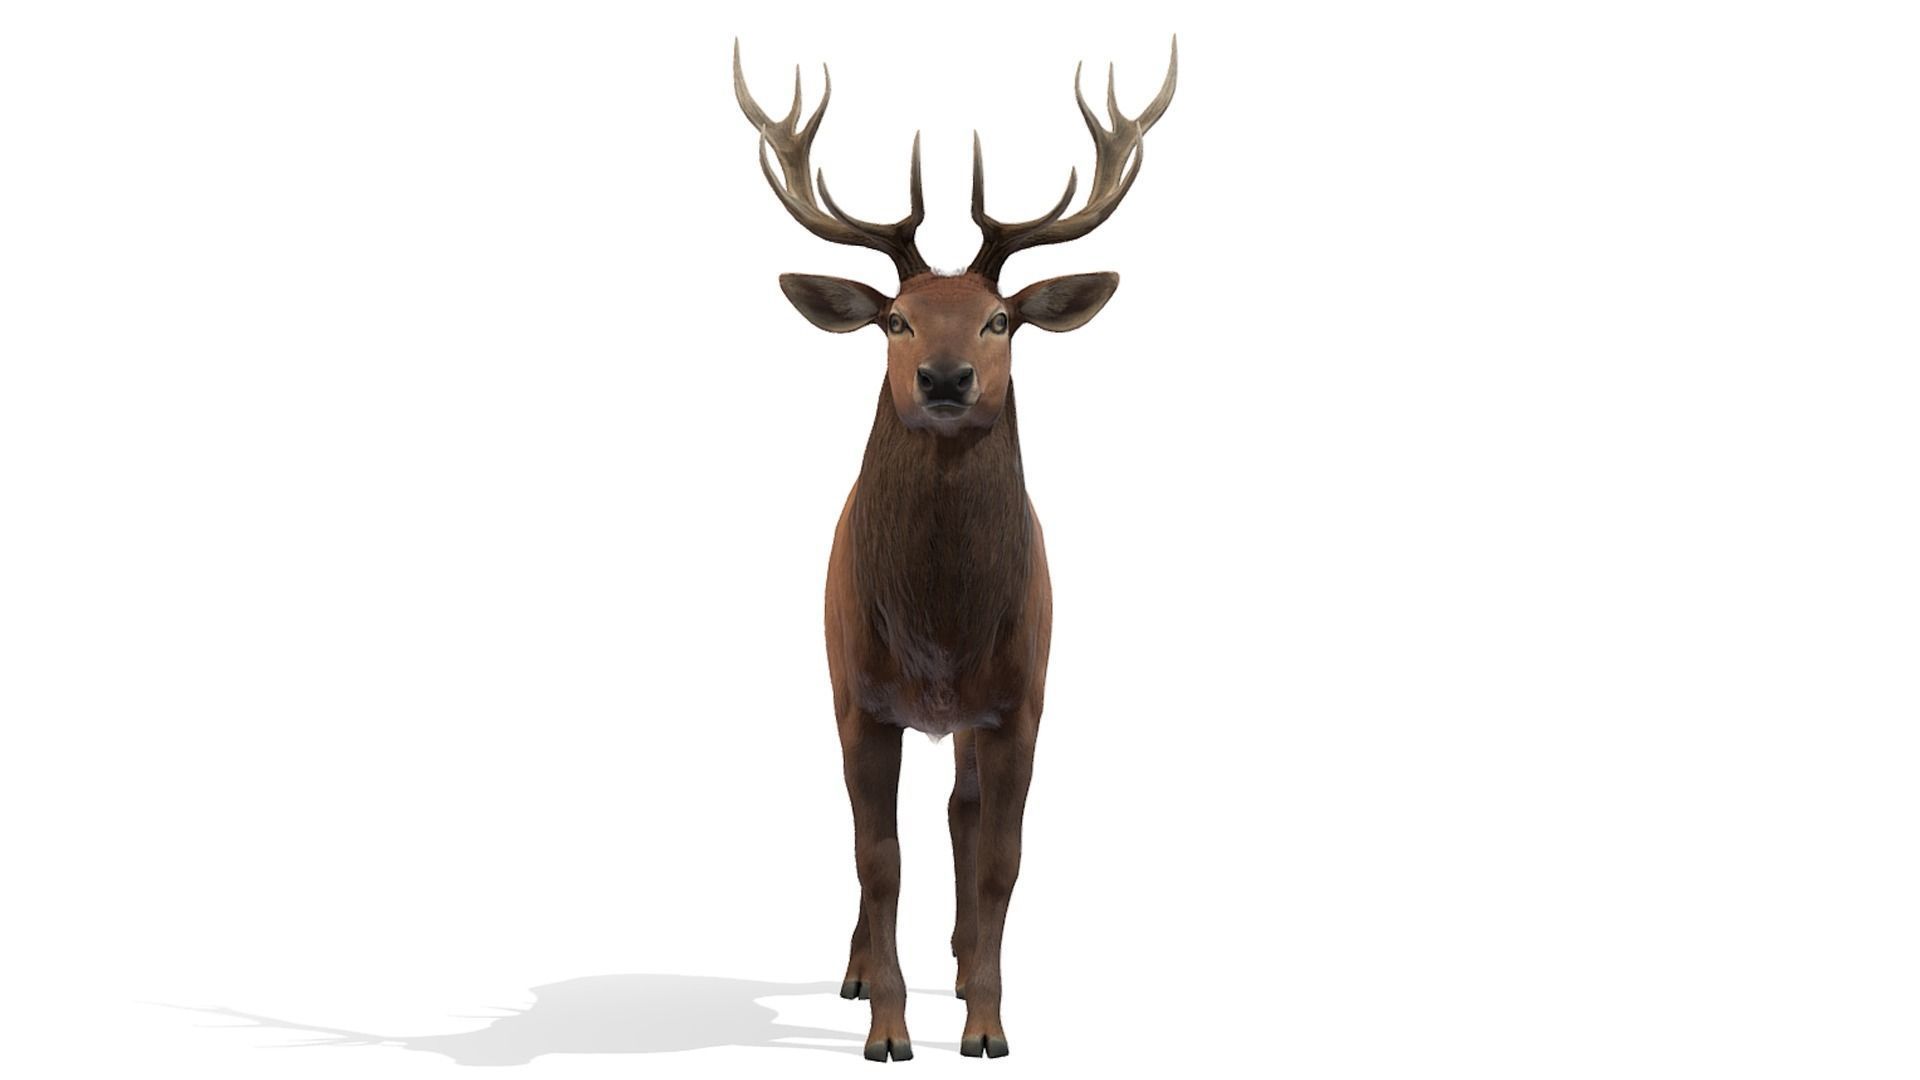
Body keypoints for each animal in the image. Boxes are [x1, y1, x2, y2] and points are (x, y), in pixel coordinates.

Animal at [733, 36, 1176, 1062]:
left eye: (999, 318)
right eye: (894, 318)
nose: (943, 377)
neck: (938, 630)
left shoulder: (1021, 700)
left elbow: (1001, 859)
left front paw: (986, 1024)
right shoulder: (859, 698)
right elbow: (878, 860)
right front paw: (888, 1028)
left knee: (962, 817)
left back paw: (968, 962)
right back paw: (861, 972)